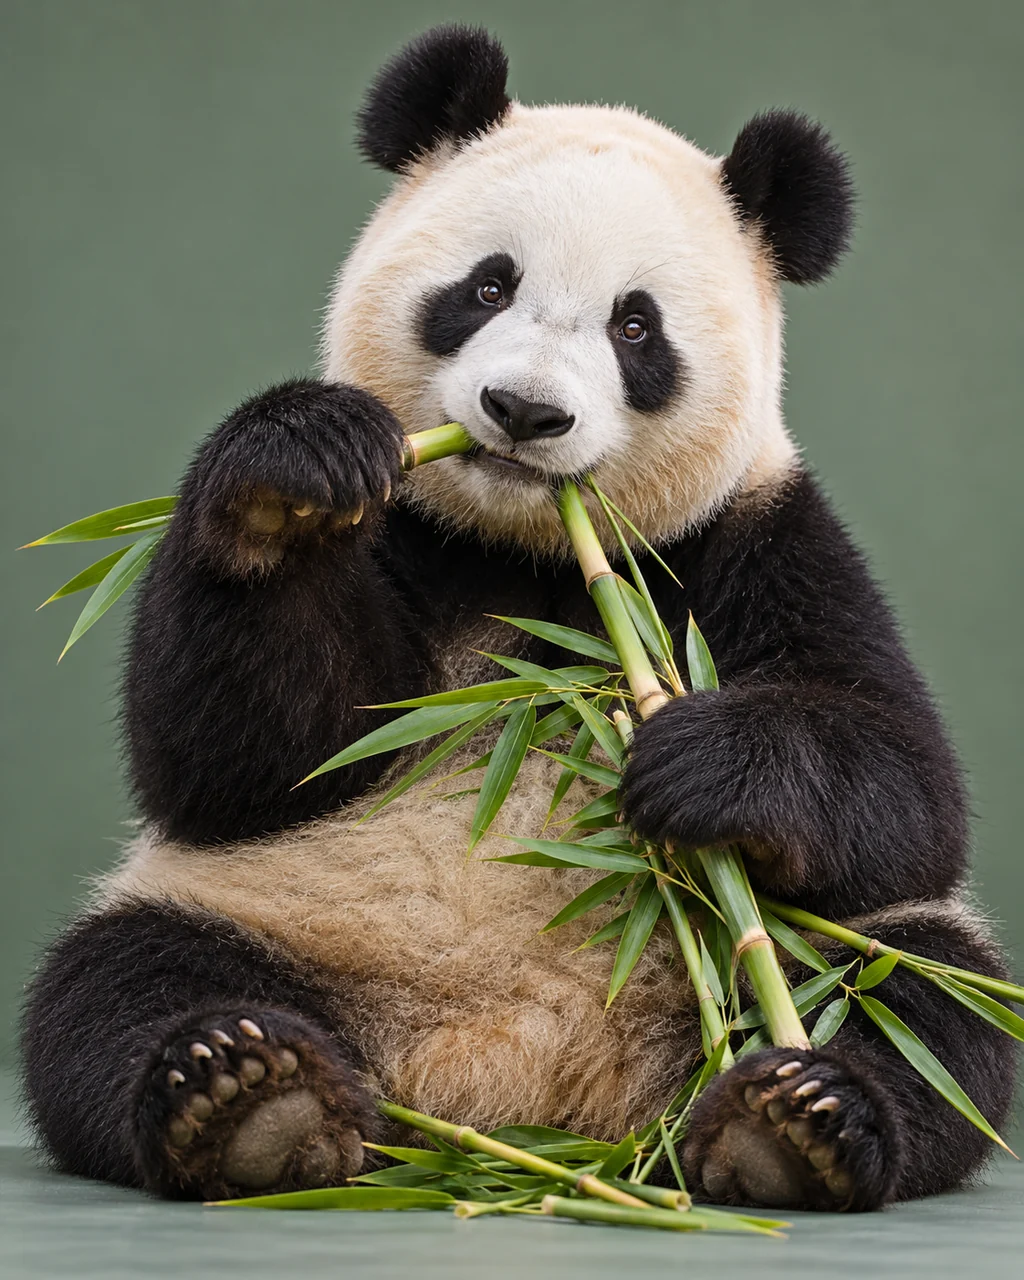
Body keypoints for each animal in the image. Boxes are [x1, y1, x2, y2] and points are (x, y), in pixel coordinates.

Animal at [21, 25, 1016, 1212]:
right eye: (489, 284)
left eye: (636, 326)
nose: (525, 411)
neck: (526, 549)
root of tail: (510, 1095)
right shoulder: (406, 531)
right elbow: (250, 759)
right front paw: (286, 479)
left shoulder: (754, 536)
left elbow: (905, 785)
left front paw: (701, 761)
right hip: (264, 914)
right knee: (118, 988)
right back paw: (252, 1098)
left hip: (780, 969)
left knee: (921, 995)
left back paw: (791, 1122)